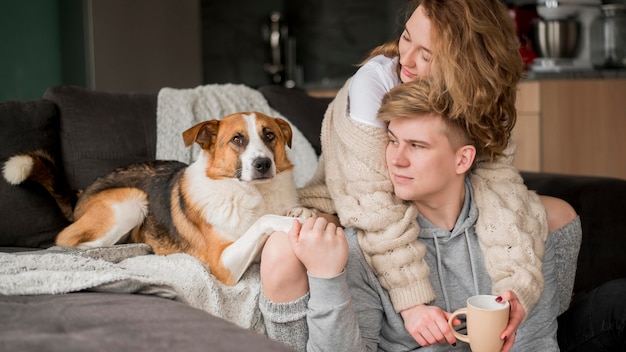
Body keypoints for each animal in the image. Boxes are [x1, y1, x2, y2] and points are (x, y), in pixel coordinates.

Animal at [3, 113, 316, 286]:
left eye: (270, 135)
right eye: (237, 140)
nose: (263, 164)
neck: (254, 194)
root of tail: (82, 192)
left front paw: (302, 213)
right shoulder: (222, 264)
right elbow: (264, 221)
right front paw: (287, 223)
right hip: (132, 201)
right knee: (67, 241)